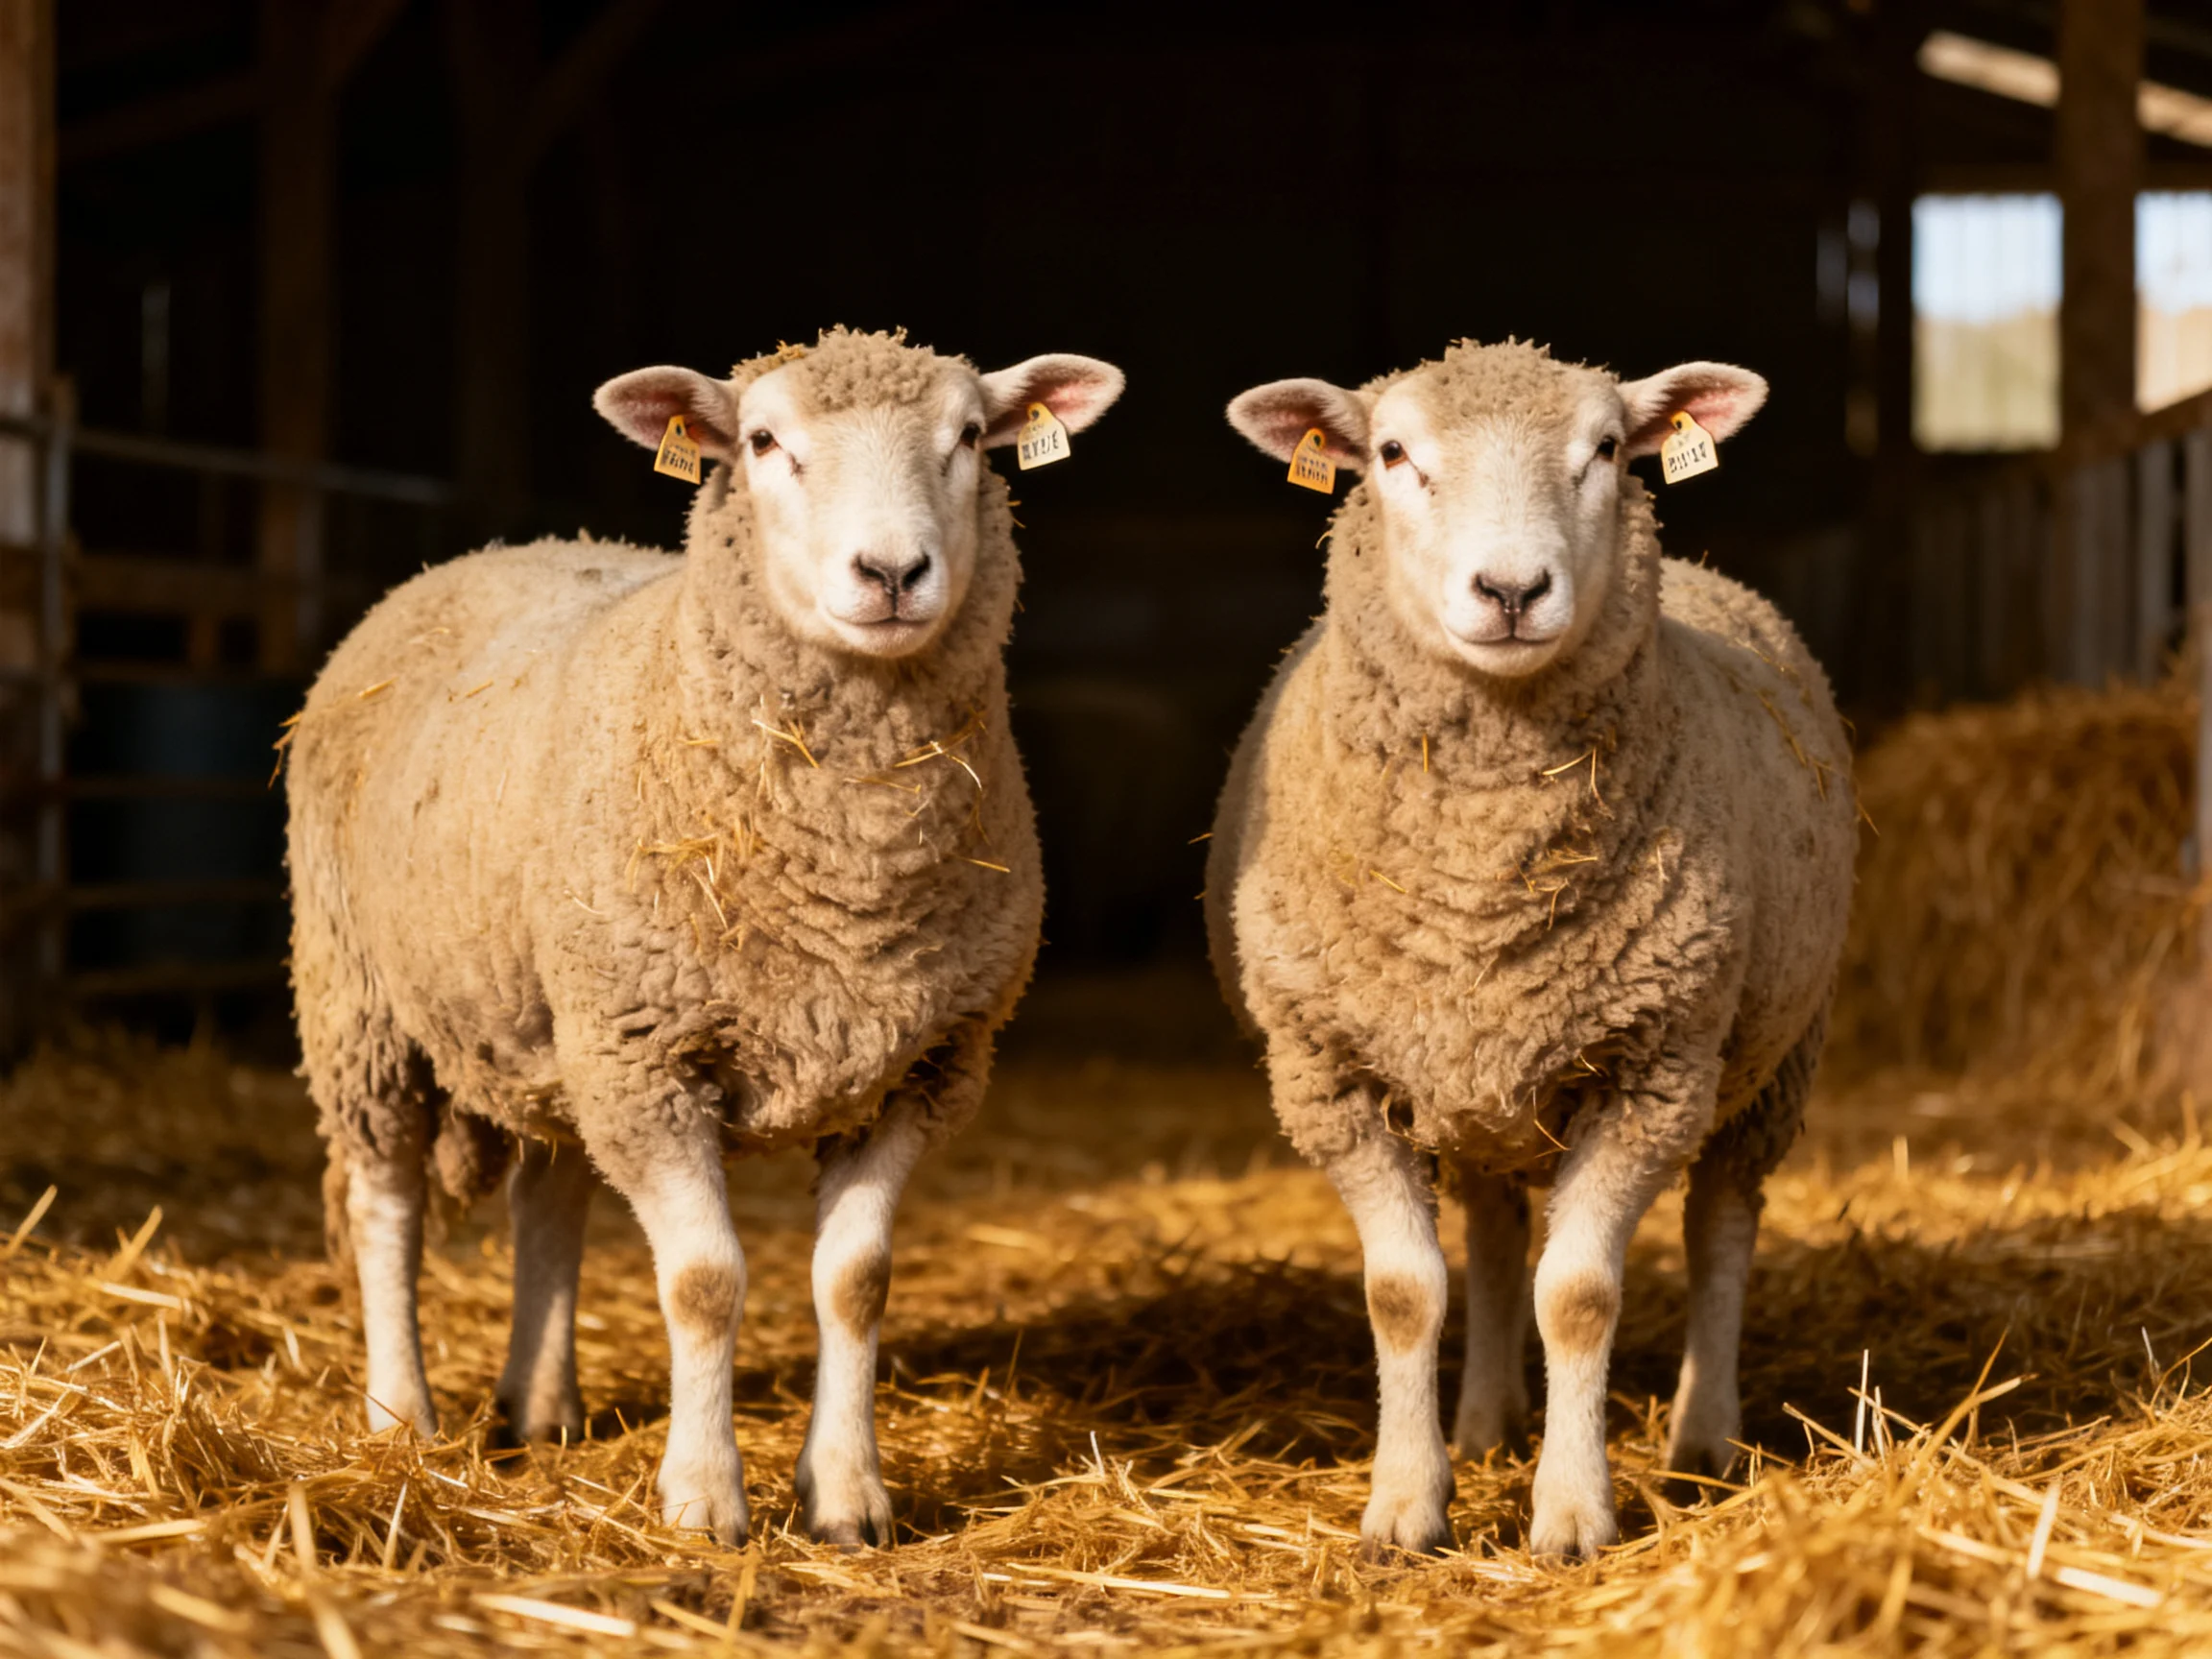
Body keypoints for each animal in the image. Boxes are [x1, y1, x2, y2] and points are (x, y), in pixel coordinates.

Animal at [286, 327, 1123, 1548]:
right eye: (766, 442)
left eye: (970, 437)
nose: (892, 574)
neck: (851, 876)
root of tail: (486, 552)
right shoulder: (653, 1057)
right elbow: (705, 1283)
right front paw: (702, 1499)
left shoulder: (917, 1066)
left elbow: (856, 1279)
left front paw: (849, 1498)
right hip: (365, 1001)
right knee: (384, 1198)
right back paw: (403, 1417)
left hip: (556, 1015)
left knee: (550, 1196)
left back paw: (541, 1405)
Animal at [1208, 340, 1856, 1560]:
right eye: (1393, 452)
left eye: (1606, 448)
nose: (1511, 592)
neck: (1481, 873)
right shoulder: (1331, 1072)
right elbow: (1406, 1293)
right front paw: (1407, 1505)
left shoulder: (1654, 1067)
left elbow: (1581, 1296)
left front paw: (1573, 1513)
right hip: (1473, 1082)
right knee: (1498, 1234)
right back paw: (1485, 1426)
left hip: (1767, 1064)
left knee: (1720, 1229)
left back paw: (1703, 1438)